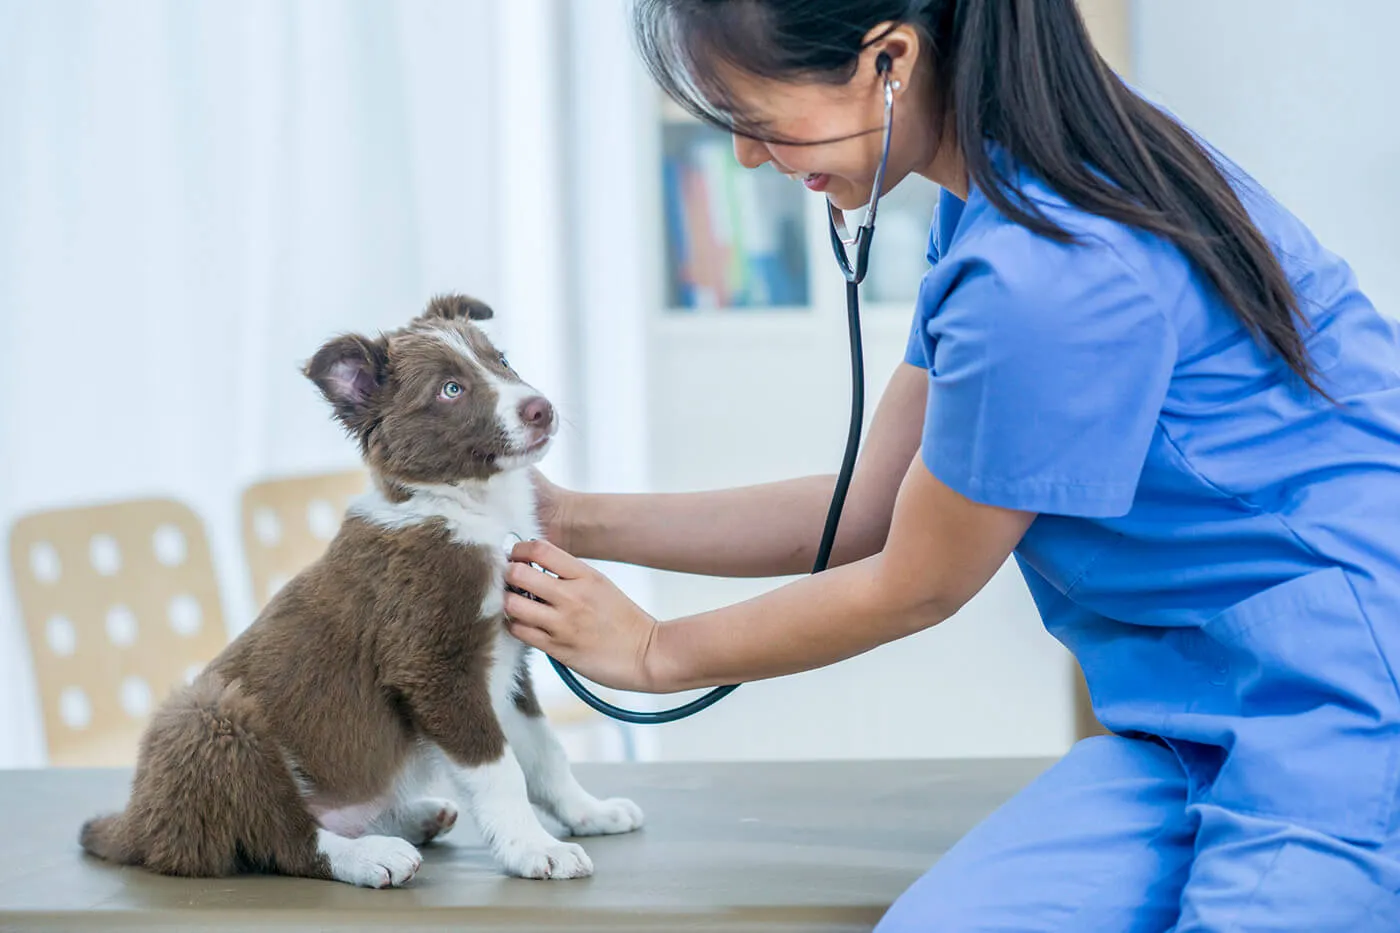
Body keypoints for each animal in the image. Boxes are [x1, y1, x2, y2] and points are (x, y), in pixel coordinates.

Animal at [81, 294, 641, 885]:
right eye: (451, 389)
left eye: (502, 360)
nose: (542, 409)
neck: (471, 509)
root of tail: (137, 823)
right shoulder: (433, 666)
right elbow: (499, 768)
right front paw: (534, 848)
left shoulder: (506, 666)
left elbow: (544, 750)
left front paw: (589, 812)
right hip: (214, 720)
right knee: (285, 837)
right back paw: (371, 854)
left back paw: (415, 818)